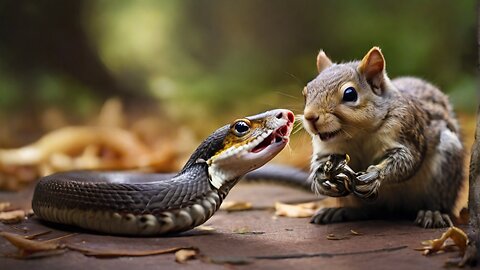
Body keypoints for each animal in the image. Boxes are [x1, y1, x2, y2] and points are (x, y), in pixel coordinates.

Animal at [302, 46, 466, 228]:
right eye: (306, 92)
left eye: (350, 94)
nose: (310, 117)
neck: (358, 134)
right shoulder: (329, 149)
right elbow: (321, 162)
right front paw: (320, 180)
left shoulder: (405, 130)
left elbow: (406, 159)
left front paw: (374, 175)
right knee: (366, 211)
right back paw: (341, 211)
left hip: (445, 172)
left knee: (438, 201)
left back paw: (433, 213)